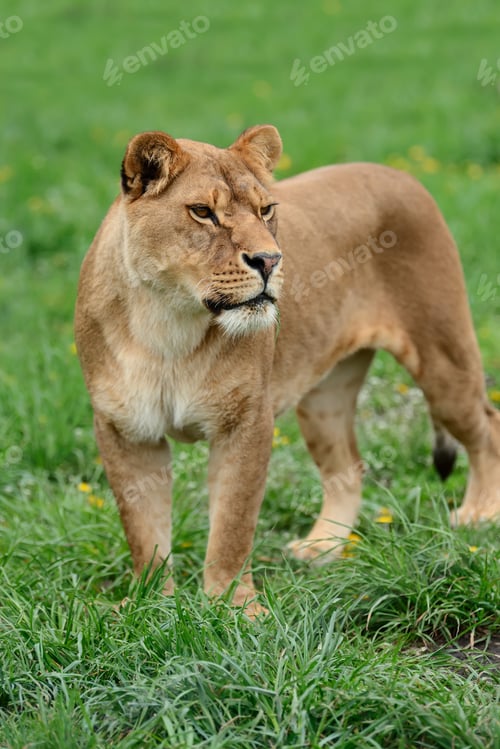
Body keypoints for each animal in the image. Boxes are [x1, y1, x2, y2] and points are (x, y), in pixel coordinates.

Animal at [75, 125, 500, 617]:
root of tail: (398, 172)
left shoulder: (245, 422)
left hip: (443, 360)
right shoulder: (125, 430)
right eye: (203, 212)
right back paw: (322, 548)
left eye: (266, 210)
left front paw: (233, 608)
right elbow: (143, 530)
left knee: (488, 425)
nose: (269, 260)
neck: (167, 323)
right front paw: (149, 605)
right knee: (349, 468)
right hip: (323, 399)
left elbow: (233, 525)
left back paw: (478, 516)